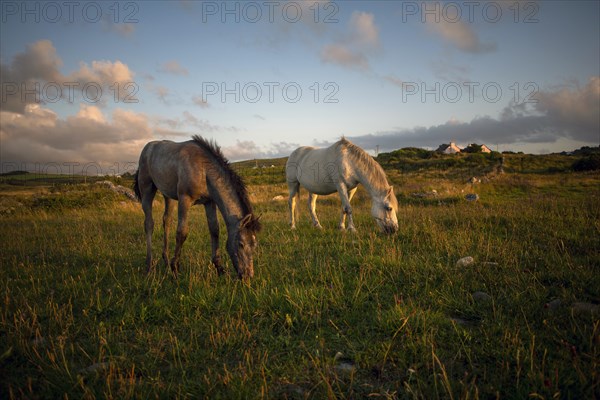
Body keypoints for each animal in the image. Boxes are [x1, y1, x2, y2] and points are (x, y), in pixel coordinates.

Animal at [134, 134, 260, 278]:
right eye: (241, 244)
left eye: (254, 245)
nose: (248, 275)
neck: (203, 170)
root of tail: (147, 148)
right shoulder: (185, 199)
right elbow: (181, 232)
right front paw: (175, 267)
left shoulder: (209, 202)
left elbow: (214, 230)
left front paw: (219, 267)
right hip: (147, 189)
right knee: (149, 224)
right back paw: (149, 265)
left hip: (168, 195)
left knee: (167, 221)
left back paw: (165, 260)